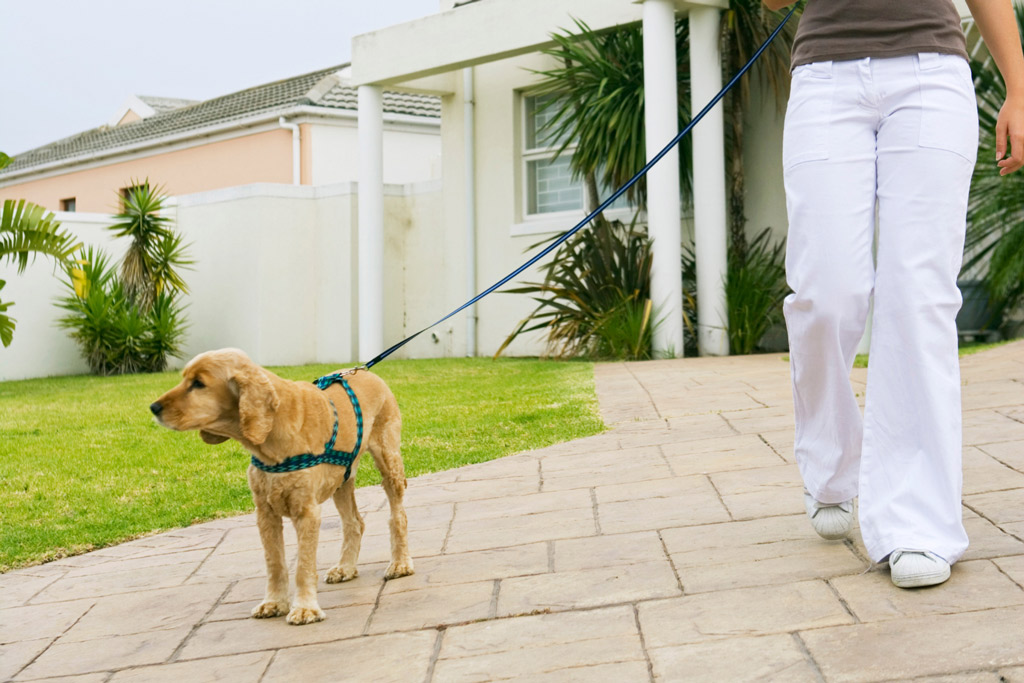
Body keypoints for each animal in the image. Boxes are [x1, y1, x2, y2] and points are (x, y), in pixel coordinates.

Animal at [149, 350, 413, 626]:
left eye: (199, 383)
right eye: (184, 379)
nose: (154, 408)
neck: (270, 439)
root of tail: (364, 370)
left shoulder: (306, 511)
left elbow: (303, 566)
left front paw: (305, 608)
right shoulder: (265, 513)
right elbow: (274, 563)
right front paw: (274, 602)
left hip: (388, 460)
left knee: (398, 516)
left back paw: (400, 564)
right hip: (341, 479)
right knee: (354, 523)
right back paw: (346, 568)